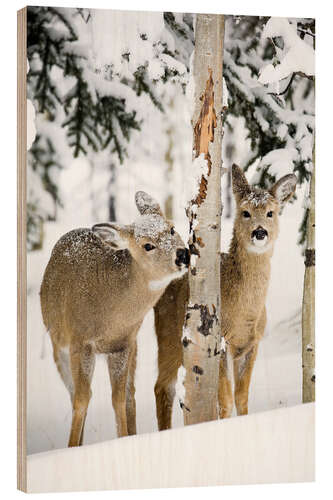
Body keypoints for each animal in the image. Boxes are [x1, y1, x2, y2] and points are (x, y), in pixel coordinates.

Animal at [40, 190, 188, 446]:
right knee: (75, 393)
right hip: (58, 344)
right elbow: (81, 398)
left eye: (172, 228)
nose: (182, 254)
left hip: (133, 347)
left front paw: (123, 439)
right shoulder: (80, 341)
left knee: (129, 394)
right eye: (147, 245)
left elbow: (118, 398)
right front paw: (72, 447)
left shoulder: (123, 344)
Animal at [153, 165, 296, 430]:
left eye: (270, 213)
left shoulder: (252, 342)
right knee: (162, 387)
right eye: (245, 212)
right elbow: (226, 401)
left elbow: (241, 398)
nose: (259, 232)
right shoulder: (219, 340)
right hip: (168, 337)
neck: (244, 312)